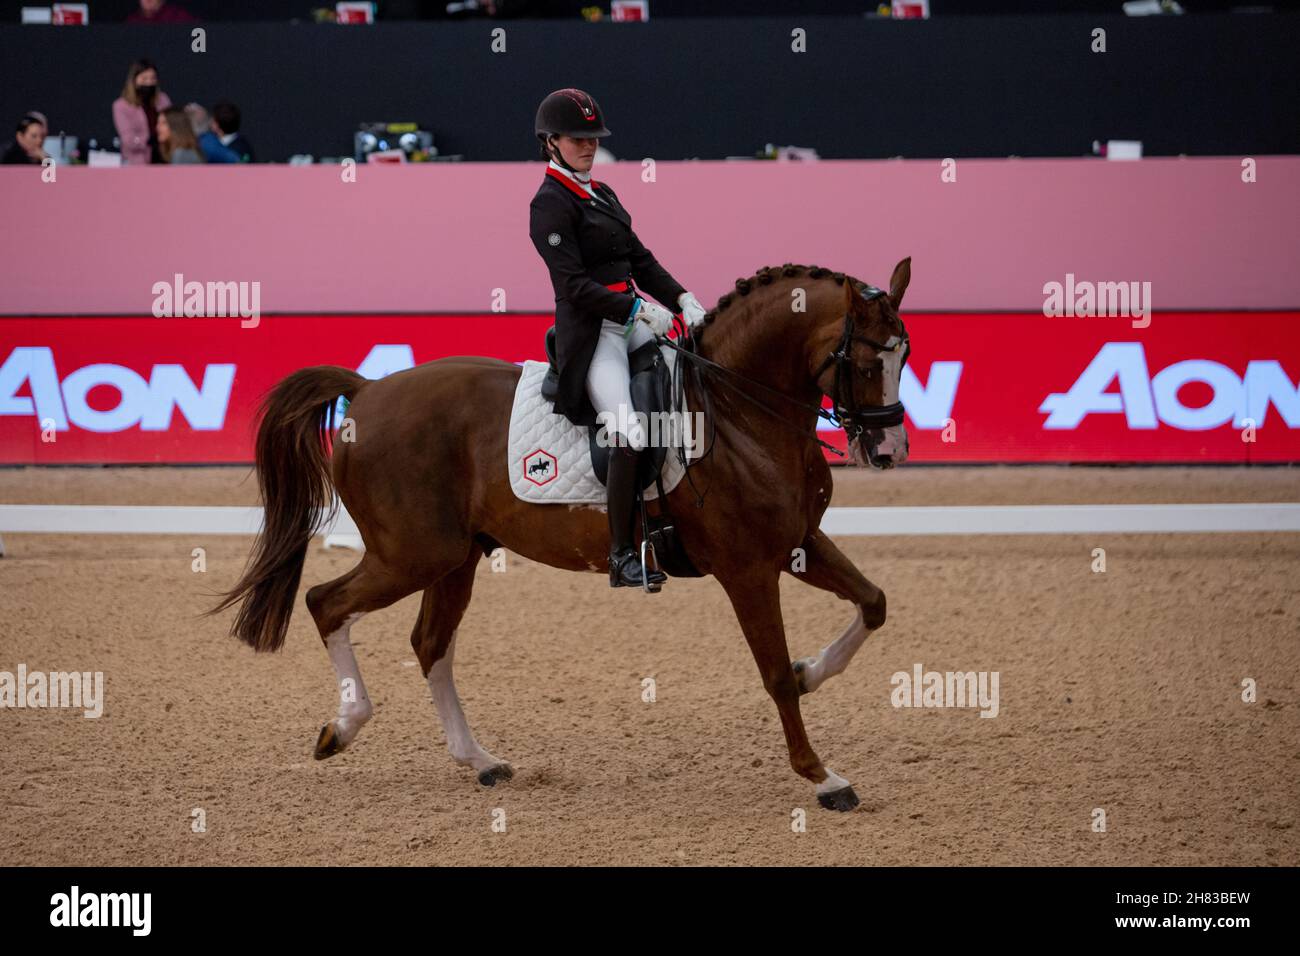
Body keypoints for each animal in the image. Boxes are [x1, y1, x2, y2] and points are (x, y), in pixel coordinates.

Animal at [213, 257, 909, 811]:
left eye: (904, 353)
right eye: (866, 359)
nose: (889, 450)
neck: (739, 410)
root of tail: (366, 390)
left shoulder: (797, 543)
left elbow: (873, 603)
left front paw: (813, 670)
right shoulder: (747, 569)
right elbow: (773, 675)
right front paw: (823, 777)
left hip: (454, 558)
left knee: (430, 643)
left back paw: (481, 760)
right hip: (410, 555)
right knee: (326, 603)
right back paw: (344, 727)